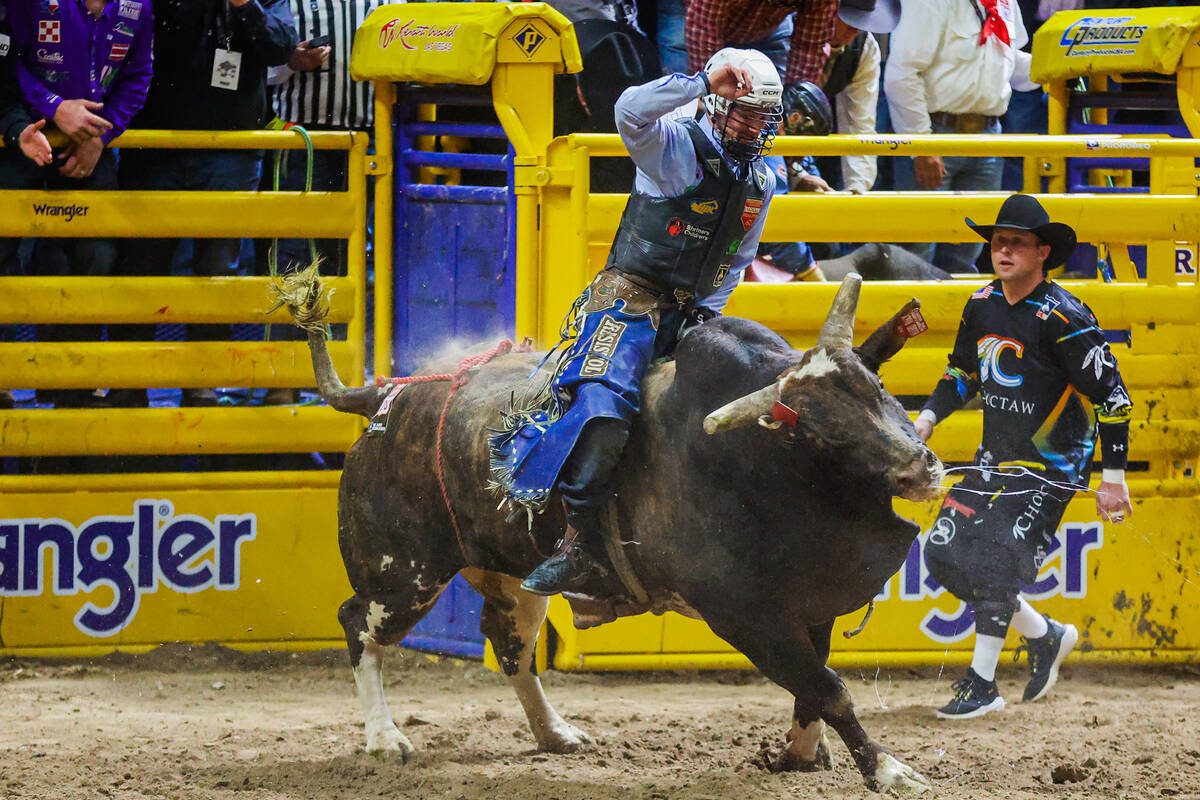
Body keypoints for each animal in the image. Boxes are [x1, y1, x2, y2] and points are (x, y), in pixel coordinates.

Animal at [278, 271, 936, 796]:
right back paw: (384, 739)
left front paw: (801, 754)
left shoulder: (811, 602)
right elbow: (828, 687)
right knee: (359, 625)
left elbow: (813, 687)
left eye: (877, 388)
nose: (920, 467)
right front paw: (889, 770)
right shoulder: (748, 617)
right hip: (403, 574)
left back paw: (555, 733)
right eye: (817, 431)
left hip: (515, 578)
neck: (760, 460)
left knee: (510, 643)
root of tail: (384, 396)